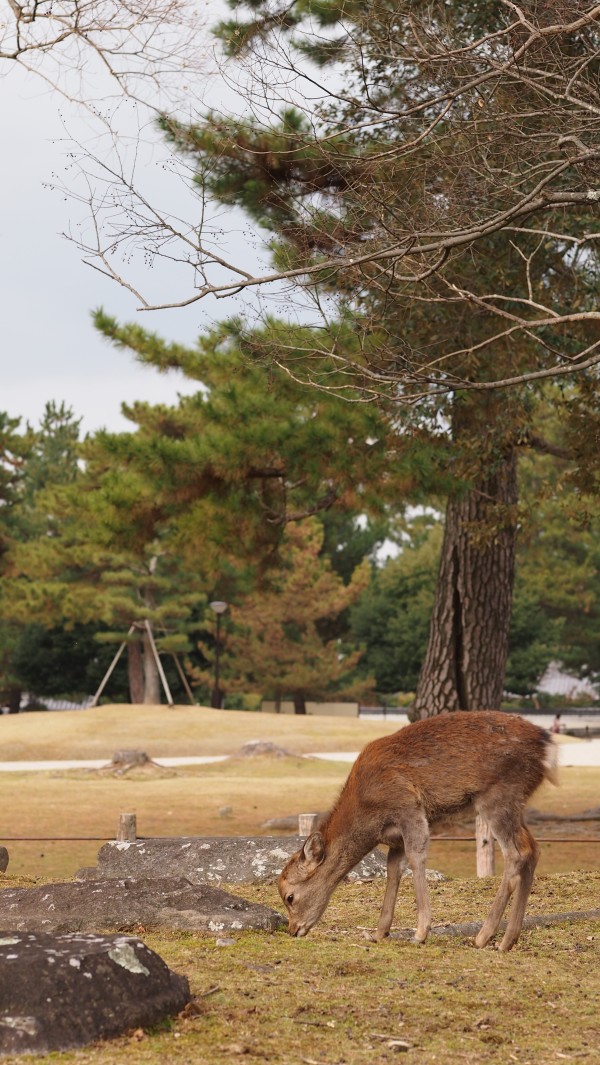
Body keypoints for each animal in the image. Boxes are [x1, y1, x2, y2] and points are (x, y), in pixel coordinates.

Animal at [279, 711, 562, 954]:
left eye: (289, 896)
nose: (293, 930)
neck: (368, 814)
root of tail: (547, 746)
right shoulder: (394, 839)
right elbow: (393, 870)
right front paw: (379, 932)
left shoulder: (408, 808)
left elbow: (416, 859)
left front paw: (421, 932)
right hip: (517, 801)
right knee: (534, 848)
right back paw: (508, 940)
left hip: (498, 795)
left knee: (517, 853)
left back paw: (484, 936)